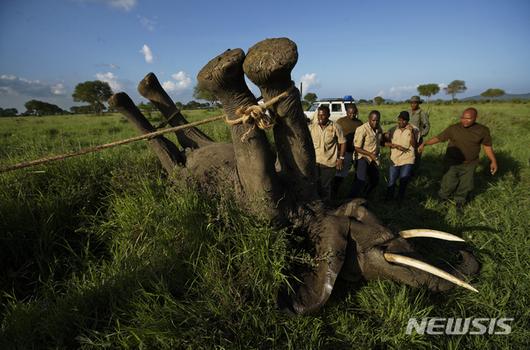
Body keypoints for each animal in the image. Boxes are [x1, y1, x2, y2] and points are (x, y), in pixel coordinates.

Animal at [108, 37, 478, 314]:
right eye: (374, 253)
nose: (464, 254)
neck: (316, 215)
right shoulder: (264, 212)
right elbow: (262, 179)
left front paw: (267, 72)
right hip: (180, 177)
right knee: (172, 155)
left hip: (197, 149)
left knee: (188, 137)